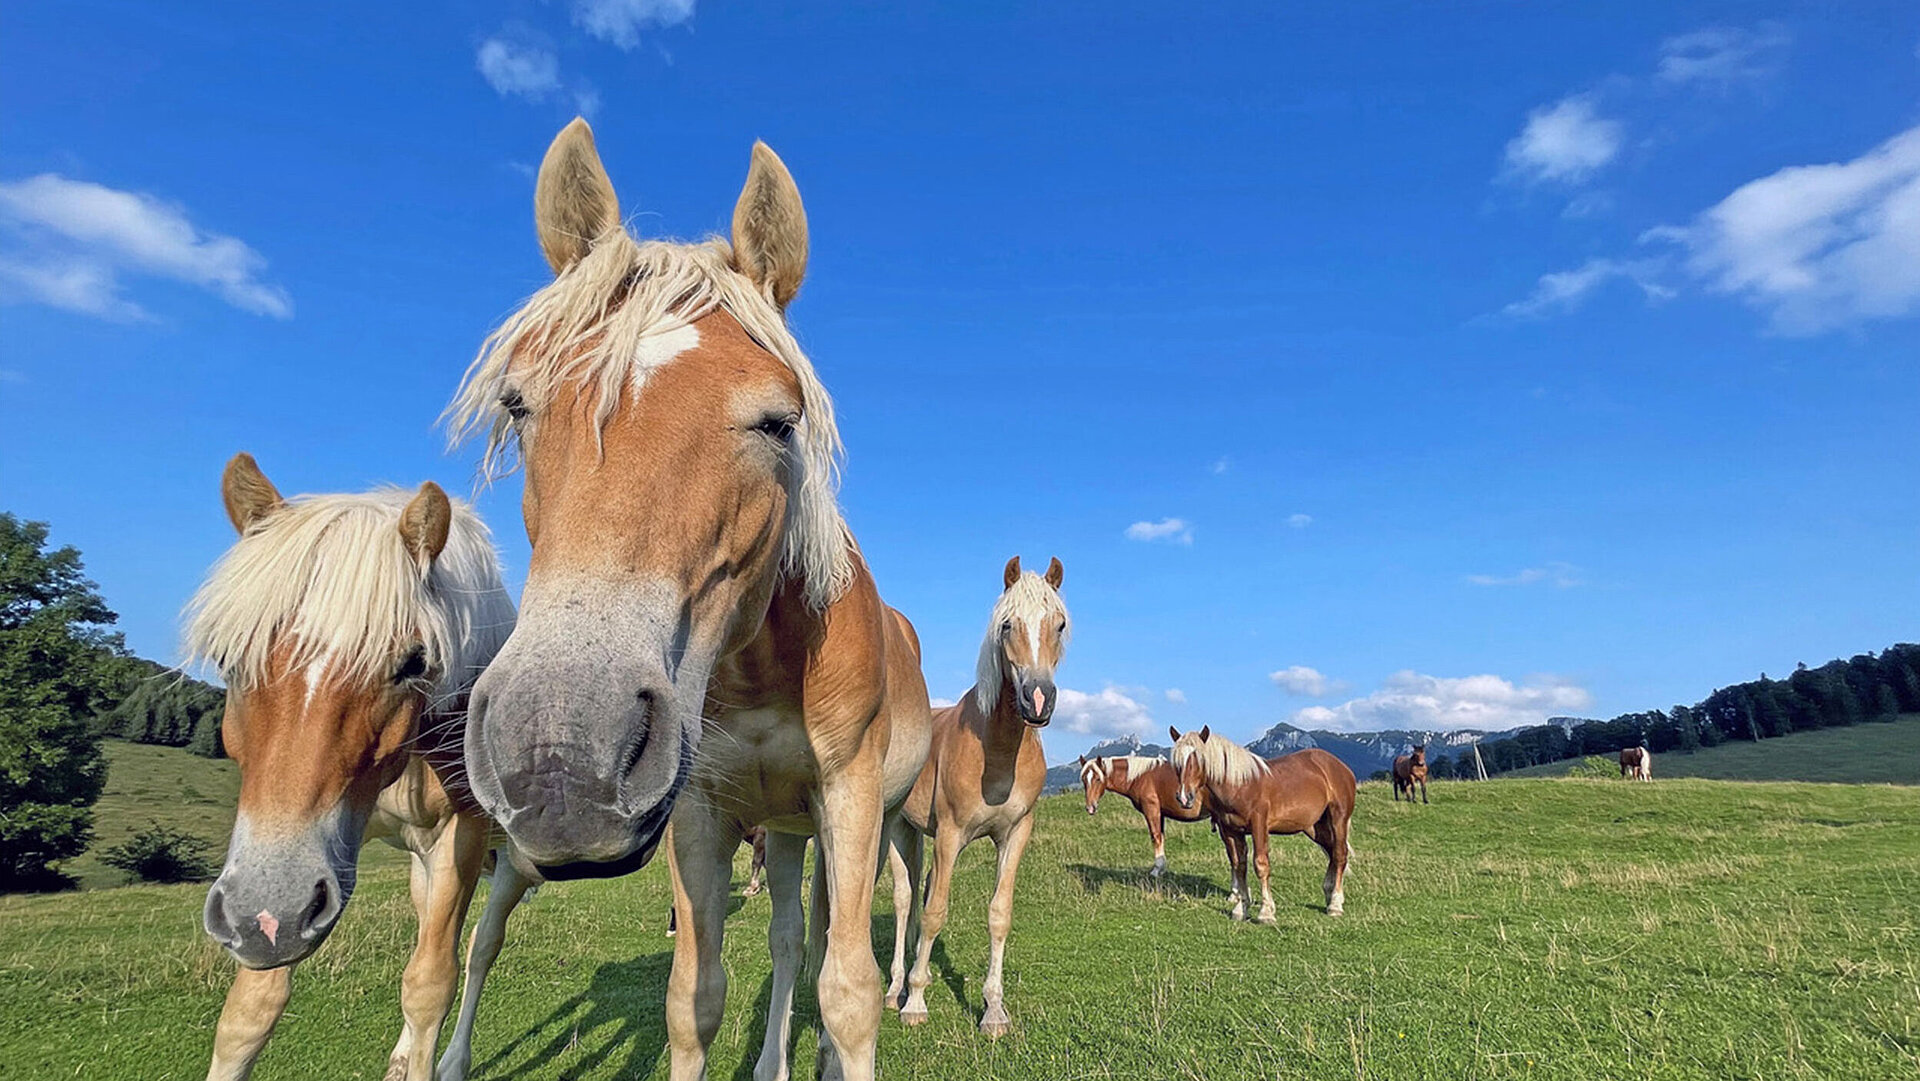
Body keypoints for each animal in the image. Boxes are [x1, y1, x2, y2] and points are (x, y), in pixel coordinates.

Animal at [184, 456, 529, 1081]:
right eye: (228, 658)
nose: (266, 914)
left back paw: (453, 1060)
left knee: (480, 949)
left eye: (414, 662)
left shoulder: (461, 837)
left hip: (509, 867)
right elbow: (249, 1011)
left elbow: (430, 986)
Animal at [449, 118, 929, 1081]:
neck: (761, 670)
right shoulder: (703, 814)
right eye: (519, 406)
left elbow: (850, 991)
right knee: (790, 939)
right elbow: (697, 996)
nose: (559, 757)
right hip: (785, 829)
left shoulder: (850, 795)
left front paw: (843, 1039)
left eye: (780, 422)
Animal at [890, 552, 1075, 1036]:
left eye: (1060, 623)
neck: (997, 749)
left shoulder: (1015, 834)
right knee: (903, 899)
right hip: (891, 830)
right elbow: (935, 911)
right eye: (1007, 625)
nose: (1037, 699)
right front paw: (916, 1001)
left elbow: (999, 913)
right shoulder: (951, 834)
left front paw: (994, 1009)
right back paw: (896, 987)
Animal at [1082, 752, 1213, 879]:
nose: (1090, 807)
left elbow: (1155, 837)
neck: (1140, 777)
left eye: (1098, 779)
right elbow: (1161, 837)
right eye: (1084, 780)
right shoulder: (1160, 814)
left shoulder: (1151, 810)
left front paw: (1156, 870)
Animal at [1159, 725, 1359, 921]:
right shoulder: (1231, 831)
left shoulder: (1259, 826)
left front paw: (1266, 912)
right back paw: (1330, 895)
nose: (1184, 797)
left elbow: (1260, 864)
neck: (1240, 785)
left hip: (1338, 818)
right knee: (1332, 852)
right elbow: (1239, 865)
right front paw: (1240, 909)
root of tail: (1340, 767)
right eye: (1177, 763)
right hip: (1314, 827)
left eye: (1200, 759)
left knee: (1340, 853)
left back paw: (1335, 904)